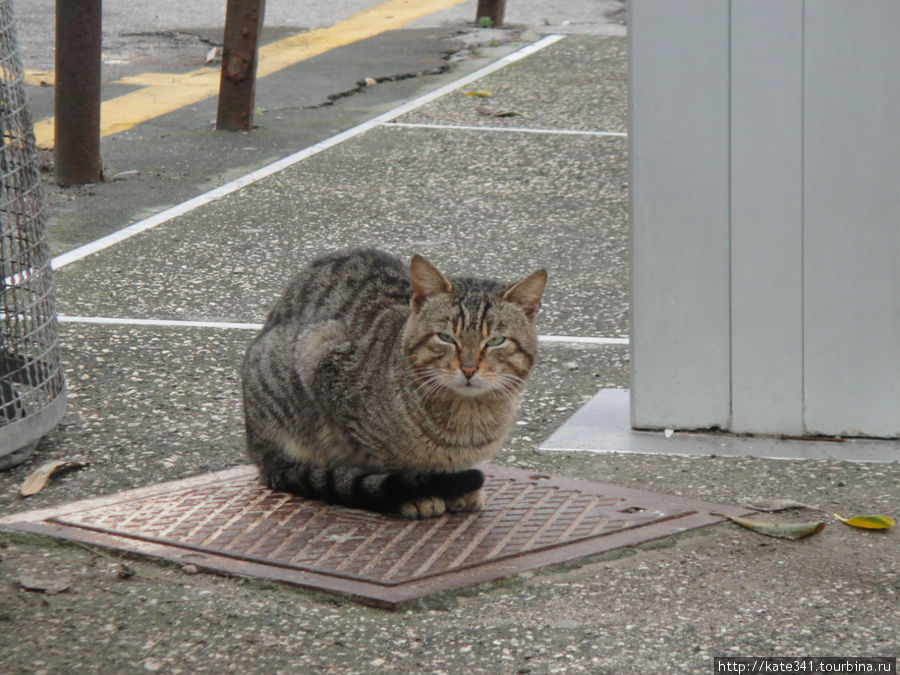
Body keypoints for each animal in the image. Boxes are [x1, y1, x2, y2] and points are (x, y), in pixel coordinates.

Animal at [243, 251, 544, 520]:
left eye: (495, 341)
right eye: (446, 337)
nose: (469, 368)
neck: (468, 420)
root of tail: (256, 449)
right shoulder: (321, 360)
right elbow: (384, 464)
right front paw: (419, 496)